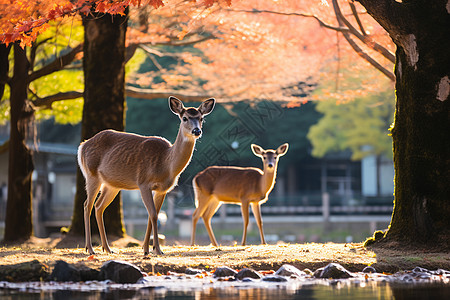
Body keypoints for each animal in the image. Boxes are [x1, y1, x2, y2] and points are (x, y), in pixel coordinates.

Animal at [78, 96, 215, 255]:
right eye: (185, 118)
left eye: (201, 118)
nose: (196, 130)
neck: (165, 164)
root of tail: (82, 146)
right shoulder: (143, 182)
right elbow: (154, 215)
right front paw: (158, 250)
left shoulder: (162, 189)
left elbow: (153, 215)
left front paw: (147, 249)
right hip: (91, 175)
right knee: (87, 205)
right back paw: (90, 248)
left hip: (112, 185)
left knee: (99, 206)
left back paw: (108, 248)